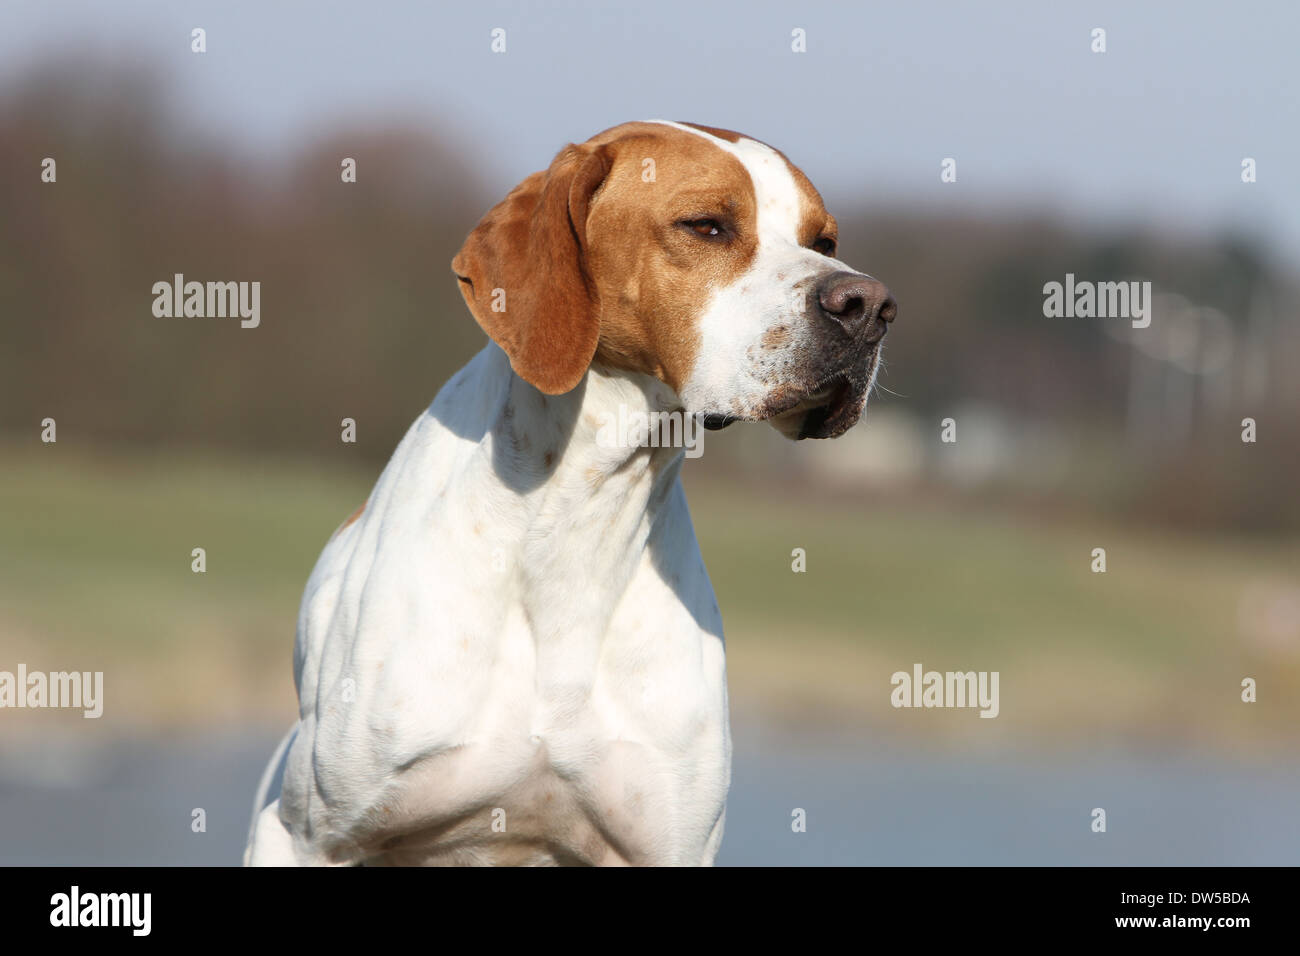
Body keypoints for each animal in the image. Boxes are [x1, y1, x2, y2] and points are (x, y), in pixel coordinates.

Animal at [244, 119, 894, 868]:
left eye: (825, 242)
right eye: (707, 226)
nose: (870, 307)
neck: (583, 516)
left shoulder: (671, 846)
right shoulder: (305, 836)